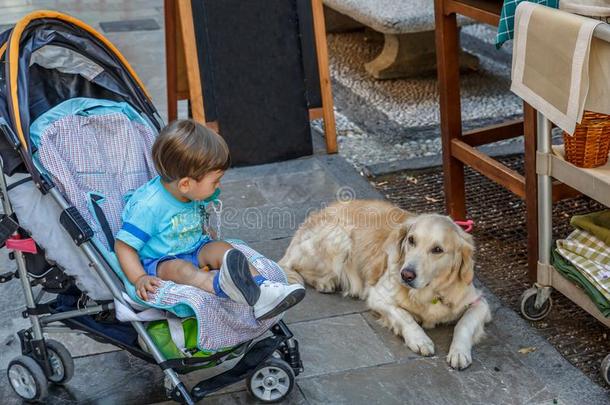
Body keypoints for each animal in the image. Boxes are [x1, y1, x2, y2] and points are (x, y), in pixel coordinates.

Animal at [280, 199, 490, 370]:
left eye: (437, 250)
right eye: (411, 240)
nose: (406, 275)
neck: (428, 293)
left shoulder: (480, 303)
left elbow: (464, 323)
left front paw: (459, 352)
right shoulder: (378, 296)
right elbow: (405, 315)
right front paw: (420, 339)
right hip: (340, 238)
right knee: (297, 268)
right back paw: (325, 282)